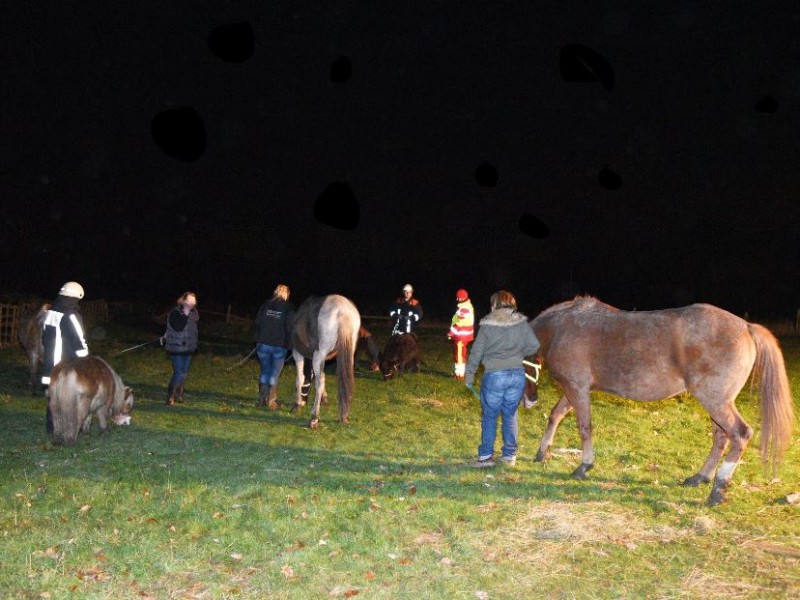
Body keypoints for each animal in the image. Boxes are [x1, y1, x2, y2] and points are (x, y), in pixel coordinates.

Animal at [290, 294, 360, 426]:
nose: (303, 402)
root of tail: (343, 310)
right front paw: (324, 399)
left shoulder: (297, 353)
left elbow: (300, 378)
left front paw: (296, 404)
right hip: (348, 353)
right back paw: (343, 416)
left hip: (319, 355)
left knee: (320, 382)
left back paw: (314, 418)